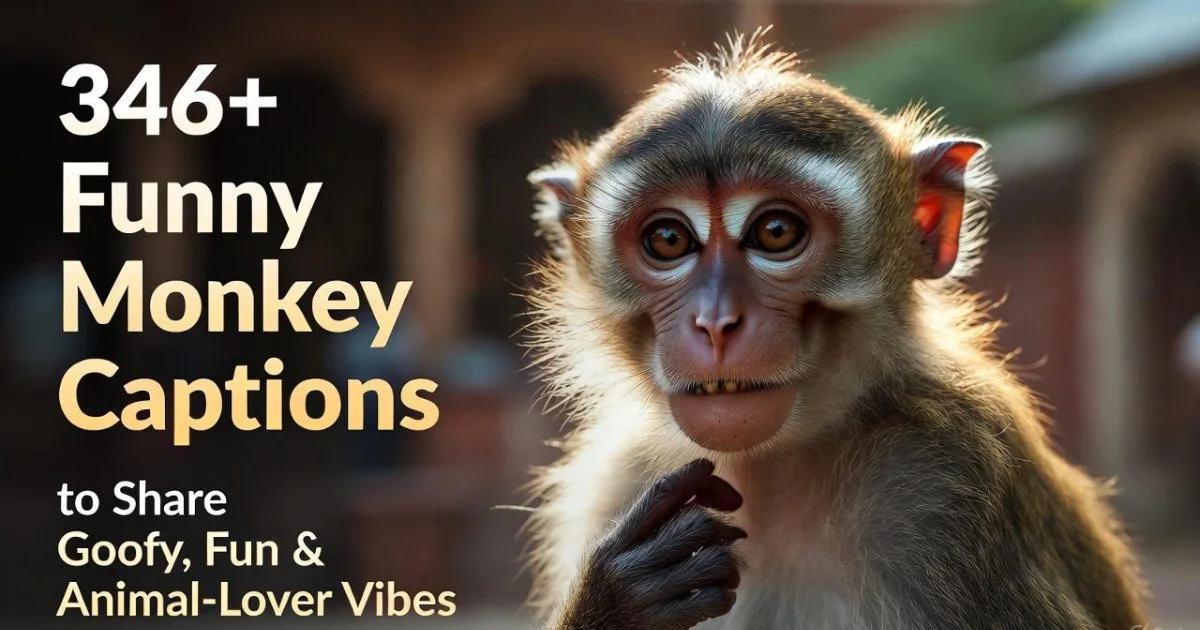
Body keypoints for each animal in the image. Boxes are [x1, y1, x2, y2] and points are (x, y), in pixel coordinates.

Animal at [518, 31, 1149, 630]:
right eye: (669, 240)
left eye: (776, 231)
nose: (716, 324)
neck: (770, 470)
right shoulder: (621, 478)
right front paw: (616, 600)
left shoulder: (940, 483)